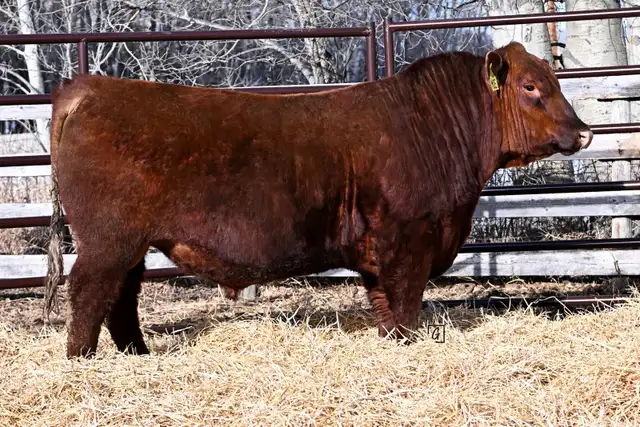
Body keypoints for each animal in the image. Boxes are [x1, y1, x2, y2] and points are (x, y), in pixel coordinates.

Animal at [44, 41, 592, 358]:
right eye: (530, 87)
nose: (585, 132)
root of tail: (89, 88)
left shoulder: (379, 250)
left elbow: (385, 304)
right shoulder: (409, 238)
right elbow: (406, 301)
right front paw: (408, 345)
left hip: (129, 243)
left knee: (122, 295)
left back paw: (136, 354)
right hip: (109, 239)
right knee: (91, 289)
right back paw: (81, 359)